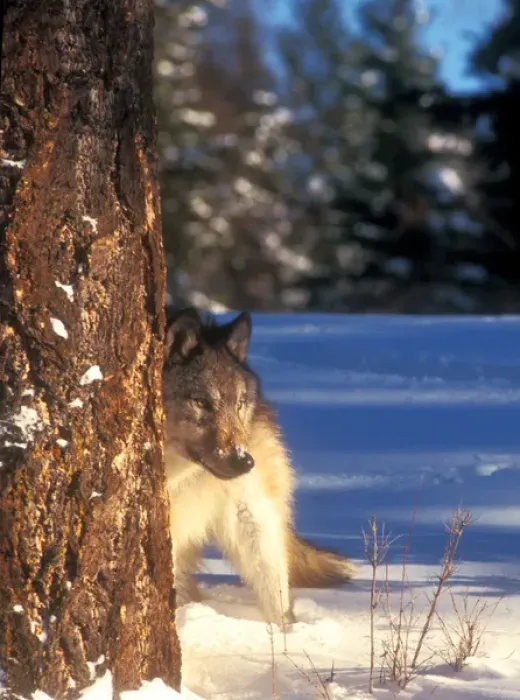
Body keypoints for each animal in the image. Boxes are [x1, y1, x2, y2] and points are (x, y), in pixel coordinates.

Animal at [163, 307, 354, 625]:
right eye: (201, 402)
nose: (244, 461)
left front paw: (285, 633)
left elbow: (275, 588)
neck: (185, 475)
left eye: (239, 403)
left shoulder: (248, 509)